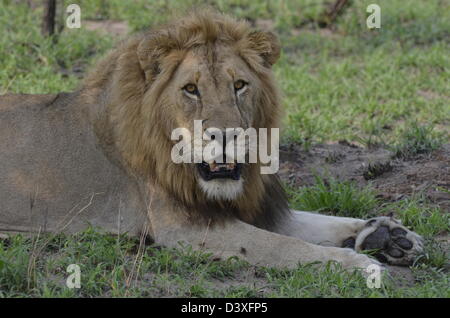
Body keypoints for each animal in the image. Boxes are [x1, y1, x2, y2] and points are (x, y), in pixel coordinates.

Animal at [0, 9, 422, 270]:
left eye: (239, 85)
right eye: (191, 89)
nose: (226, 136)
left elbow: (317, 223)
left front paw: (390, 235)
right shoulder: (184, 226)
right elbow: (283, 245)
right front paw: (357, 264)